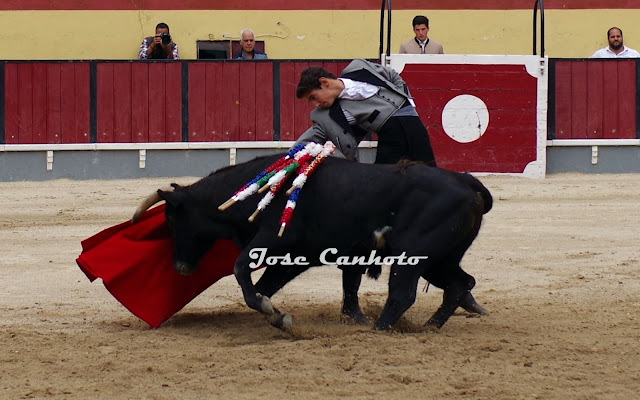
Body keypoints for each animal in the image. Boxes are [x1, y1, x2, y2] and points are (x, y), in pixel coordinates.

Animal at [132, 154, 492, 331]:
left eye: (171, 220)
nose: (180, 266)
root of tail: (468, 183)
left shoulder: (273, 241)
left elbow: (241, 271)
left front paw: (276, 315)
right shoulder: (293, 259)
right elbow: (261, 287)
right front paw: (276, 316)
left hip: (414, 255)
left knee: (403, 294)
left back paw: (380, 329)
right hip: (440, 259)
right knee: (460, 283)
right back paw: (429, 327)